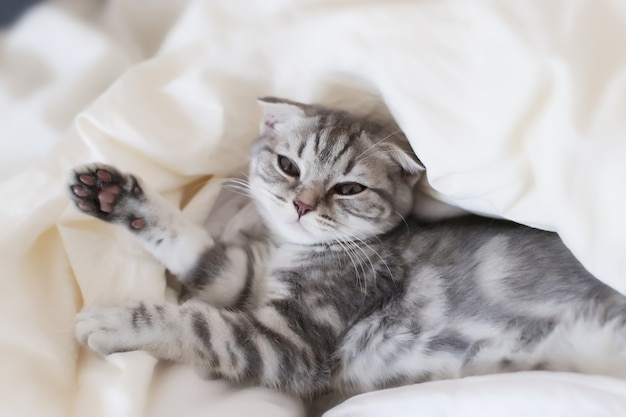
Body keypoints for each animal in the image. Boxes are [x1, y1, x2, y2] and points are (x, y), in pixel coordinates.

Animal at [67, 96, 624, 400]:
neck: (291, 250)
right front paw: (113, 194)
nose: (302, 205)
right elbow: (201, 254)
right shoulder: (242, 277)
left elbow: (198, 324)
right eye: (288, 166)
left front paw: (113, 320)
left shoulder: (289, 343)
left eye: (349, 188)